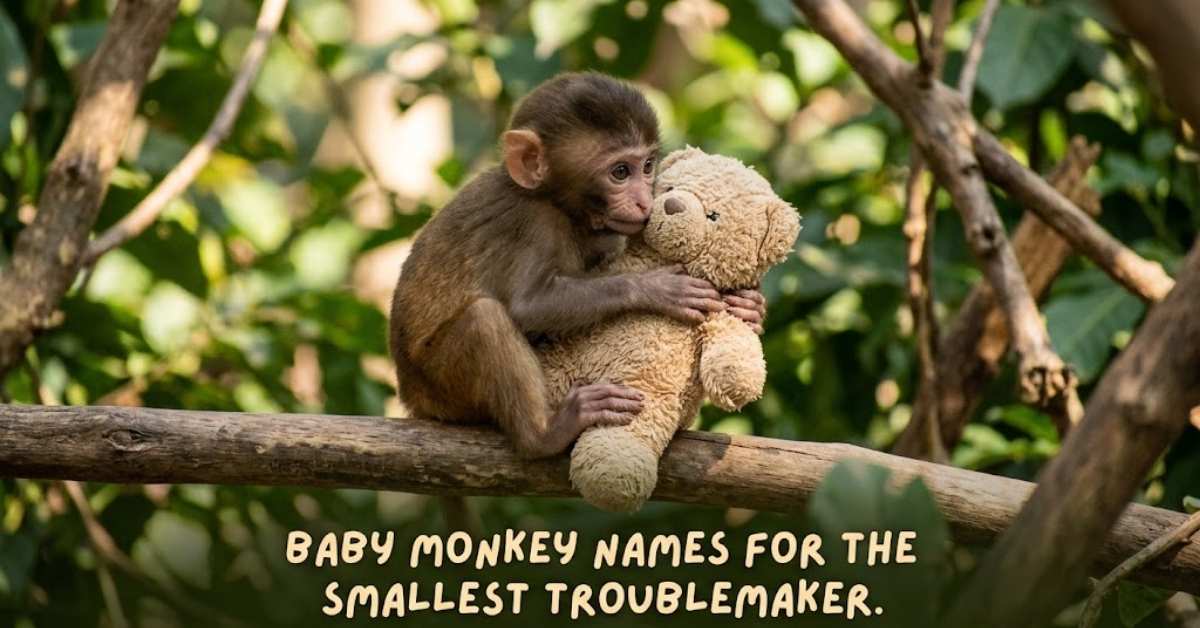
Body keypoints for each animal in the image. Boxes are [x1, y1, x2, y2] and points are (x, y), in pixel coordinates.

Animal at [389, 72, 765, 459]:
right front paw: (656, 288)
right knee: (484, 317)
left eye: (647, 166)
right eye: (620, 172)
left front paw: (752, 307)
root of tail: (412, 397)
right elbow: (528, 305)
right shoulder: (533, 223)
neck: (559, 204)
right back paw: (546, 434)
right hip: (442, 386)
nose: (644, 201)